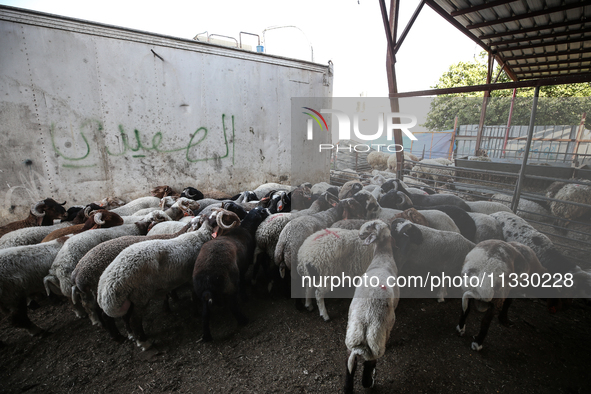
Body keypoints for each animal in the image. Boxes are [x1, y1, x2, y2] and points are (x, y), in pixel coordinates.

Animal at [344, 220, 400, 392]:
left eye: (370, 226)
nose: (359, 234)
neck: (382, 257)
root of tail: (366, 320)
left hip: (351, 338)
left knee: (350, 366)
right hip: (378, 344)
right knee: (369, 365)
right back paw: (370, 381)